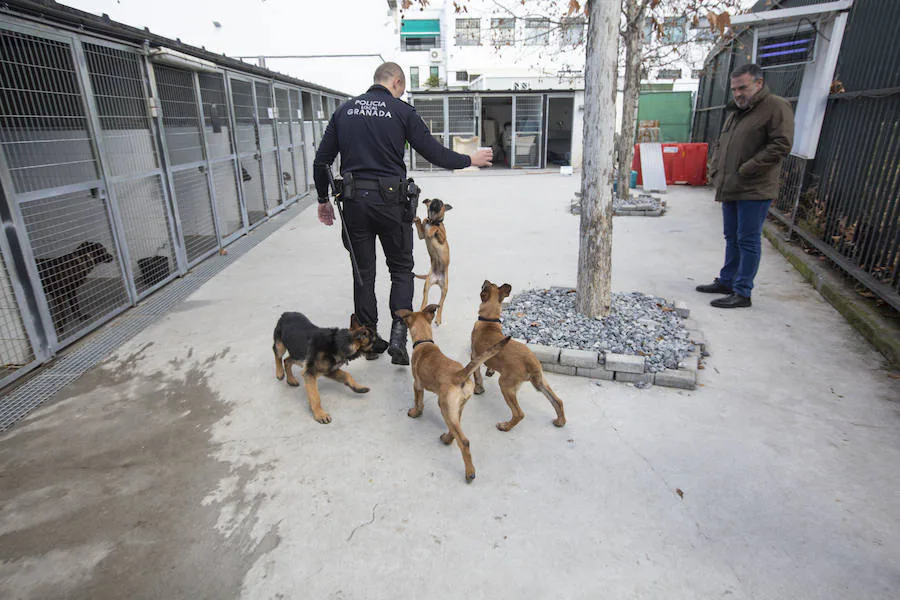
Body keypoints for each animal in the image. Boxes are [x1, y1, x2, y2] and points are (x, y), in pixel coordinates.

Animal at [396, 304, 510, 482]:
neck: (424, 341)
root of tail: (460, 374)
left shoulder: (417, 385)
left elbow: (418, 402)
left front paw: (414, 413)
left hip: (445, 406)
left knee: (464, 441)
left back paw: (469, 472)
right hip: (456, 407)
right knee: (455, 429)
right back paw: (447, 439)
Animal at [468, 282, 568, 432]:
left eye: (486, 285)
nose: (485, 281)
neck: (489, 321)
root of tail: (531, 362)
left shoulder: (474, 356)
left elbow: (477, 376)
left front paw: (478, 390)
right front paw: (490, 371)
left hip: (505, 385)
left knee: (519, 413)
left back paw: (505, 426)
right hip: (541, 382)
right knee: (558, 401)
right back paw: (560, 421)